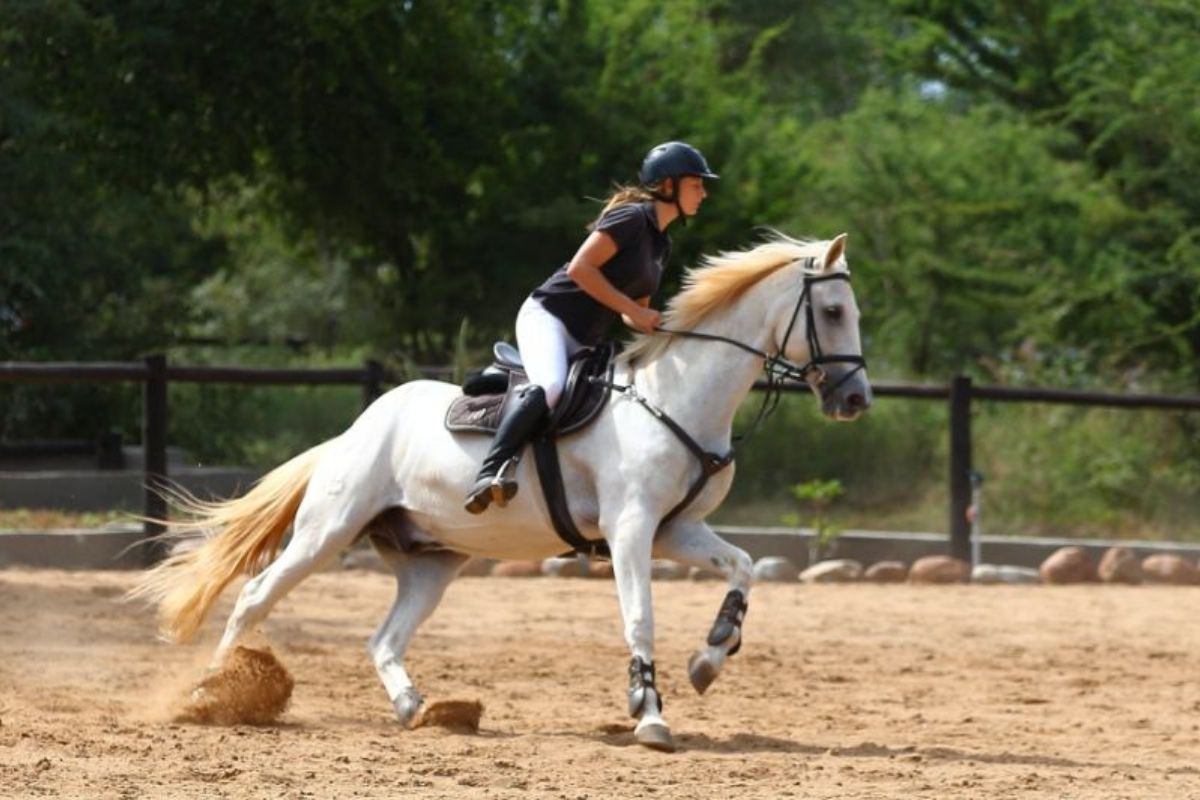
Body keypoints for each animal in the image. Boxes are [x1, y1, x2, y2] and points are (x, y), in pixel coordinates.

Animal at [132, 231, 872, 752]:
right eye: (834, 311)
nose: (856, 399)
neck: (676, 399)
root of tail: (352, 432)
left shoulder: (674, 530)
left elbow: (743, 569)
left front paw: (709, 658)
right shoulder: (632, 530)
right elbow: (640, 618)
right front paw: (650, 715)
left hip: (433, 561)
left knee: (384, 638)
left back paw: (420, 708)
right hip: (327, 531)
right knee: (255, 596)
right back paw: (211, 693)